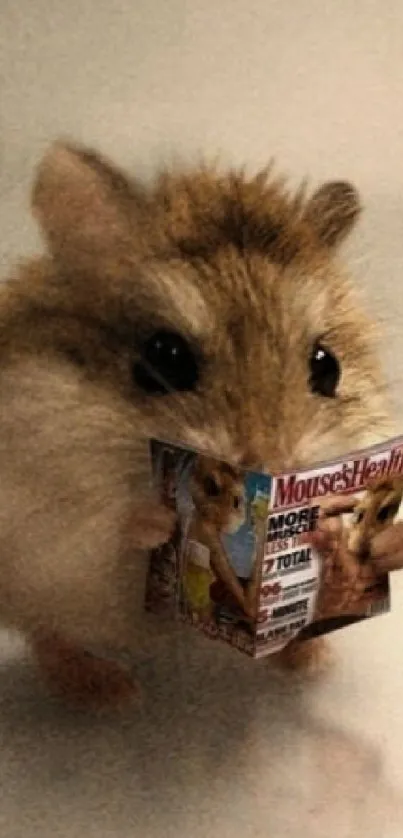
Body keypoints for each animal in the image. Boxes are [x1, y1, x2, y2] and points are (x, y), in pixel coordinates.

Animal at [0, 141, 394, 700]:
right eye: (165, 358)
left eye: (328, 366)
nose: (273, 464)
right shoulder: (49, 511)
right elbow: (114, 524)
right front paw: (158, 518)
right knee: (46, 634)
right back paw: (110, 691)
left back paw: (310, 659)